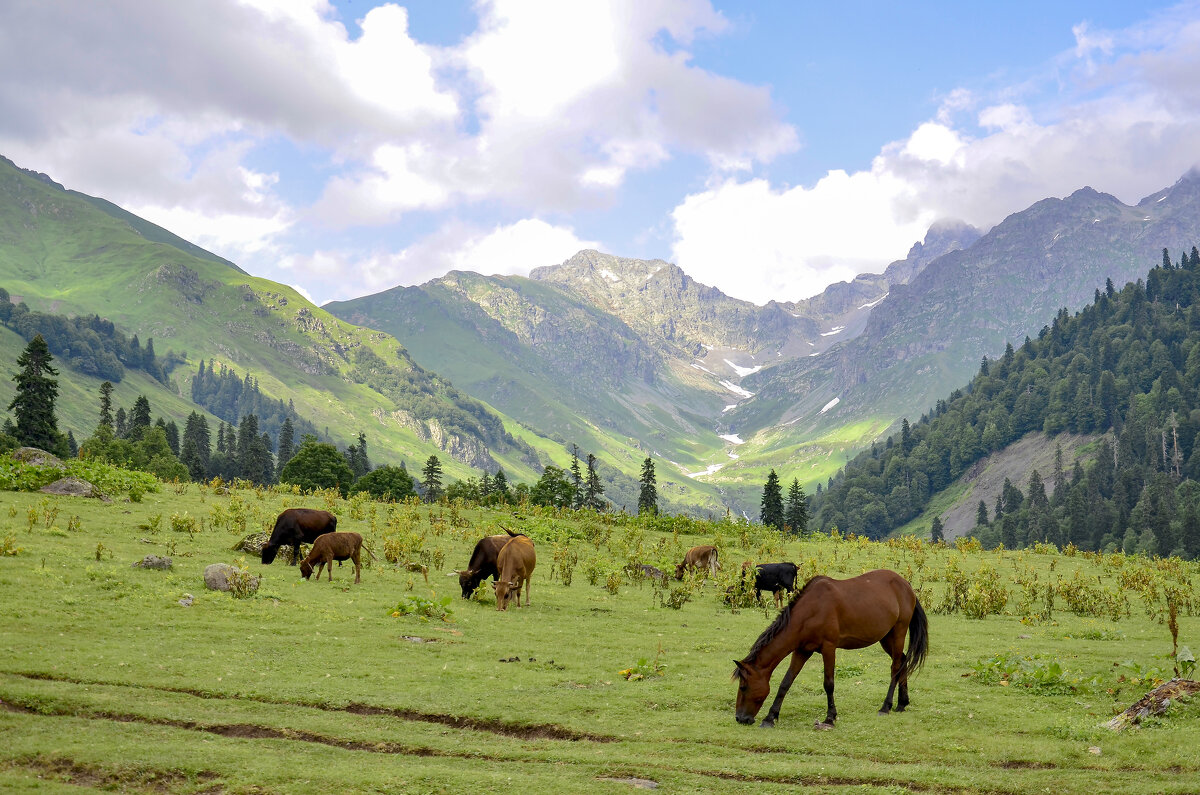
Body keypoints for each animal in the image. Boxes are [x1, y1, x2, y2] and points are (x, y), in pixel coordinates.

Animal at [729, 569, 926, 730]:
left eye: (744, 687)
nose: (740, 718)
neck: (810, 611)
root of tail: (906, 585)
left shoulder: (829, 648)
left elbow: (828, 684)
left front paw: (830, 718)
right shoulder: (802, 650)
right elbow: (786, 682)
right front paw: (770, 717)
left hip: (898, 632)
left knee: (895, 667)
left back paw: (886, 706)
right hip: (886, 638)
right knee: (902, 661)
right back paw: (902, 703)